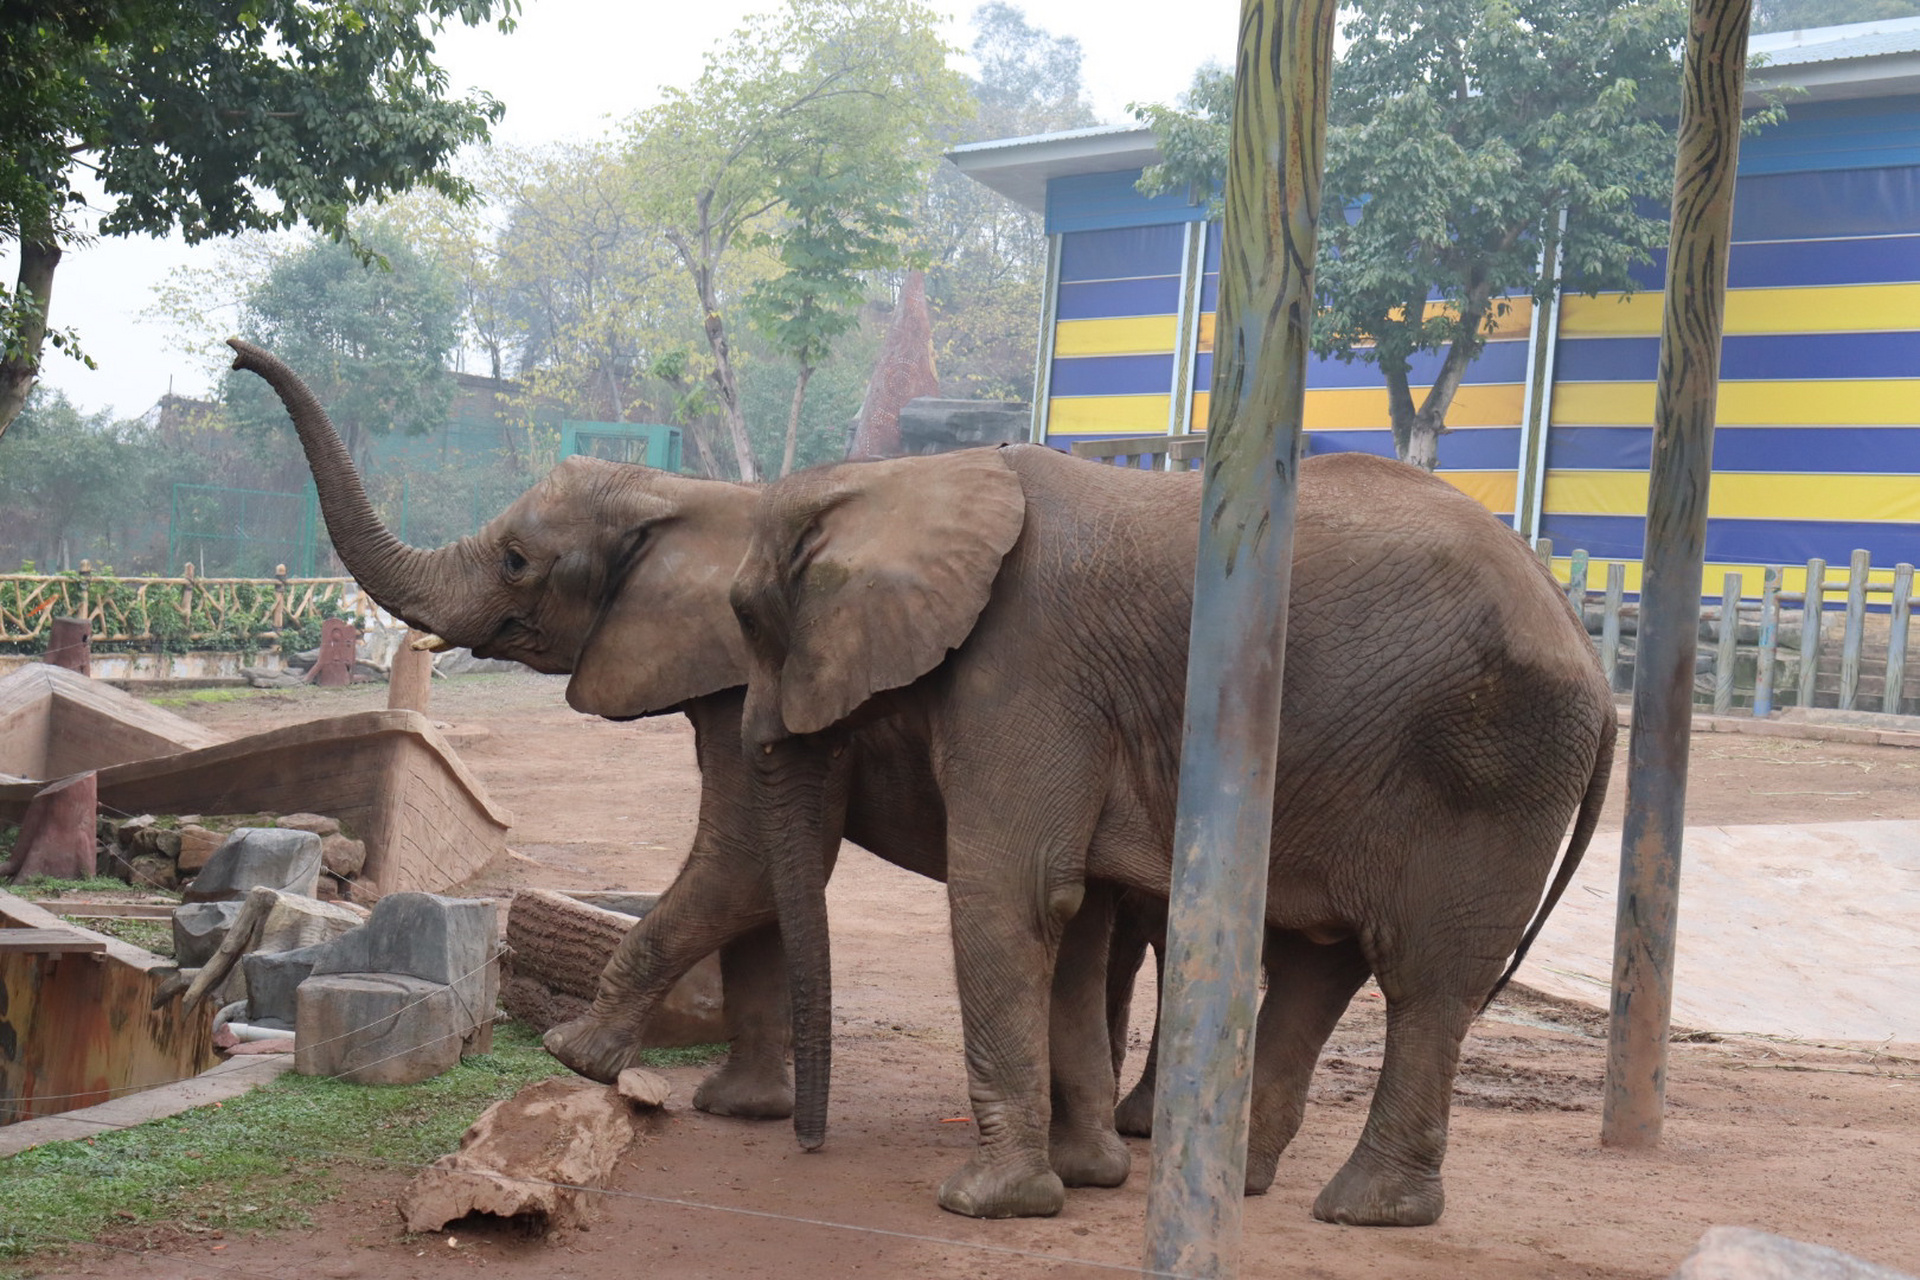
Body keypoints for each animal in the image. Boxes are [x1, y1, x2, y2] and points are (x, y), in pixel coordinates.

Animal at [725, 445, 1612, 1228]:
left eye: (746, 617)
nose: (809, 1147)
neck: (908, 473)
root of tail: (1593, 659)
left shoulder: (1025, 666)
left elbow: (1018, 893)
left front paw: (988, 1203)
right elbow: (1076, 913)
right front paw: (1087, 1176)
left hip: (1493, 770)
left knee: (1425, 981)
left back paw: (1363, 1211)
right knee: (1320, 965)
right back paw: (1233, 1184)